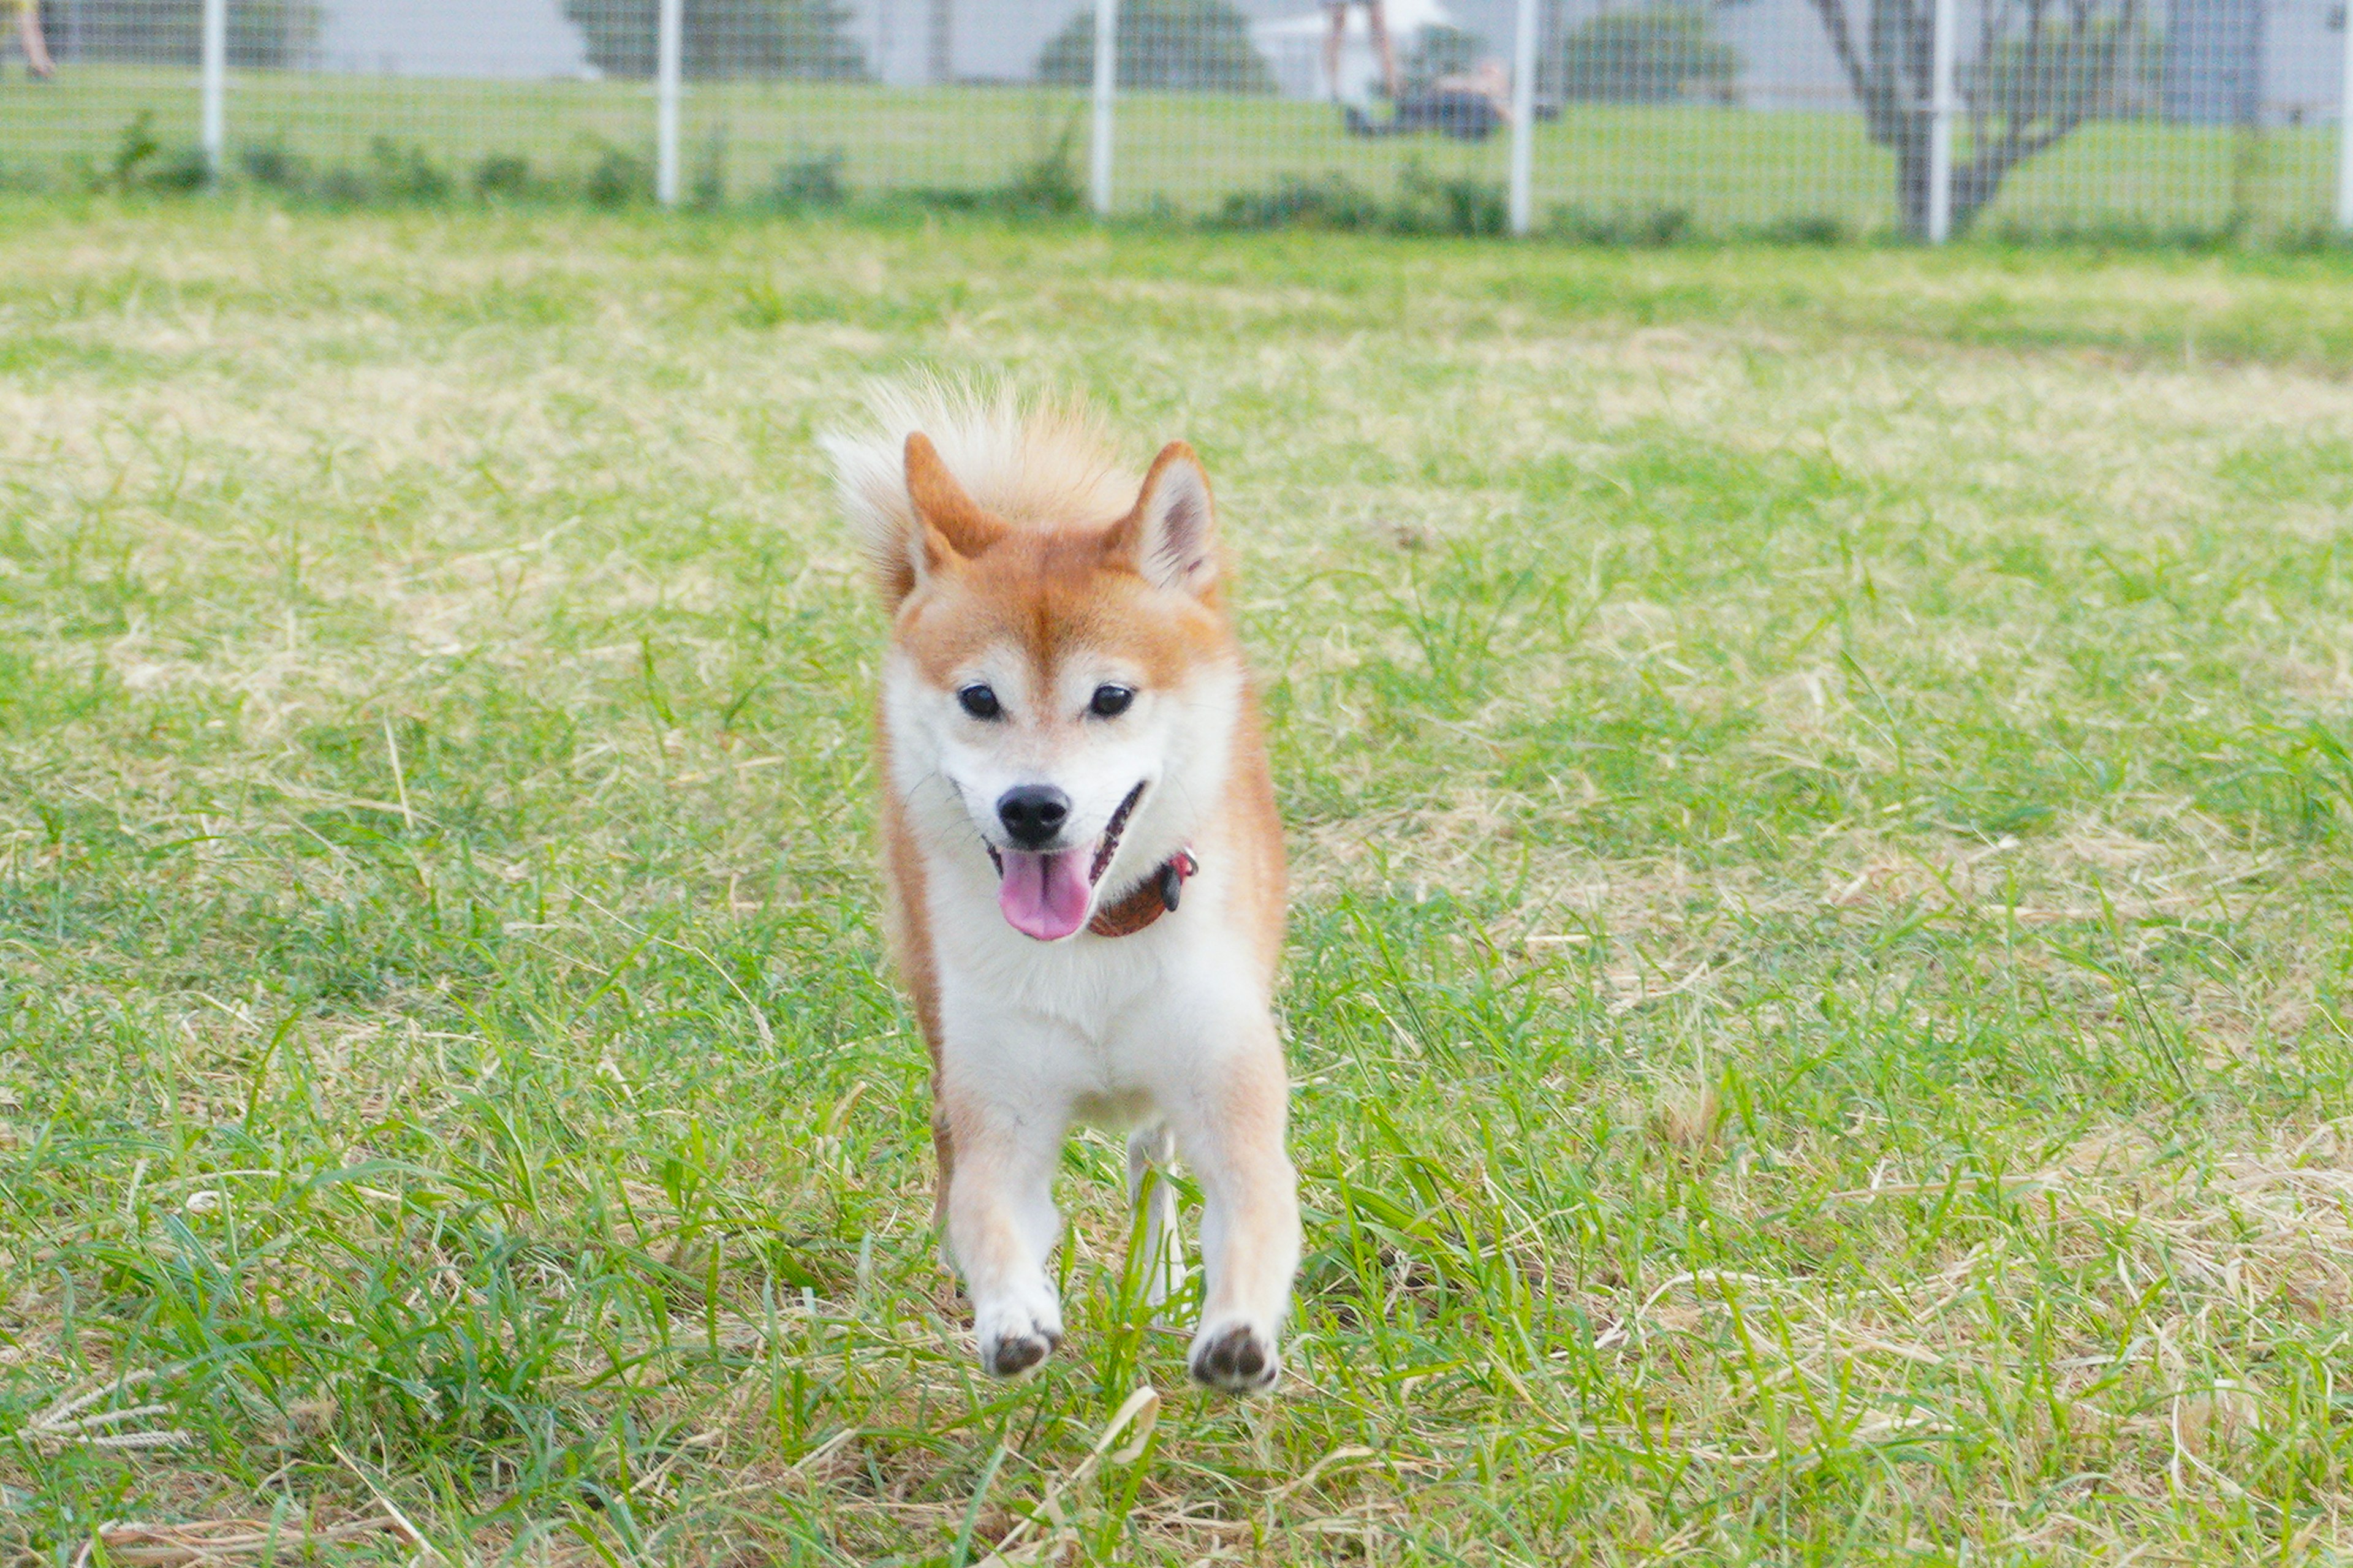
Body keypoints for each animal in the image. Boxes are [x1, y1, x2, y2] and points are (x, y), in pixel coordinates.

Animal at [833, 384, 1308, 1384]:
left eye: (1112, 698)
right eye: (980, 699)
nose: (1032, 807)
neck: (1095, 940)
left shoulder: (1230, 1090)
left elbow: (1253, 1210)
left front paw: (1236, 1328)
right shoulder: (1003, 1113)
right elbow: (991, 1214)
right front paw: (1012, 1311)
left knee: (1150, 1159)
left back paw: (1159, 1279)